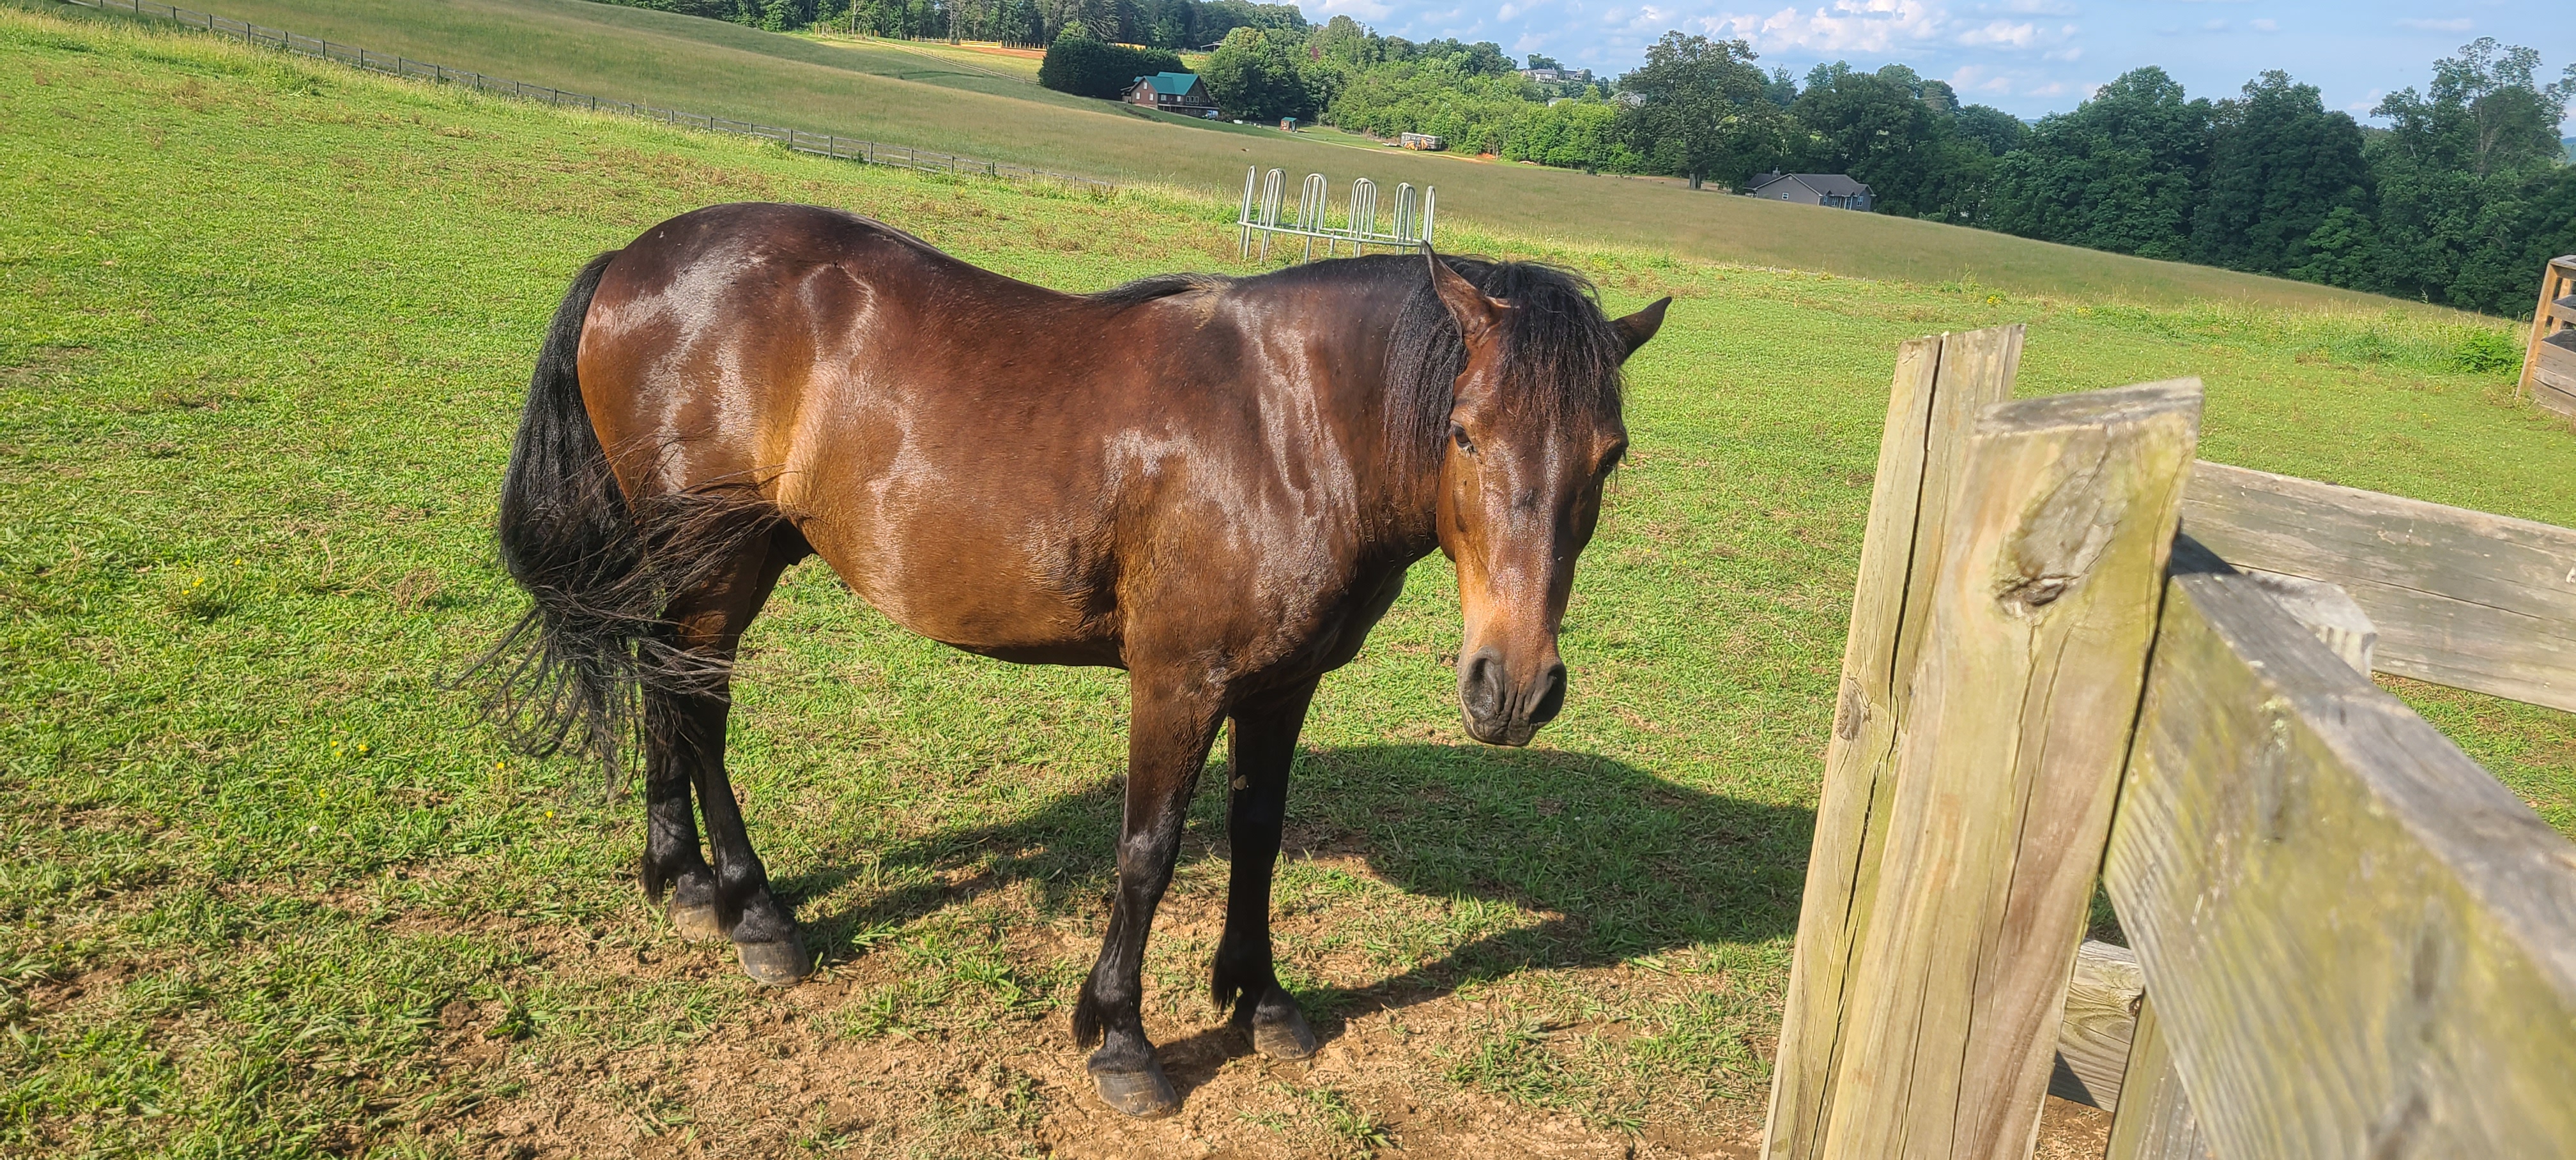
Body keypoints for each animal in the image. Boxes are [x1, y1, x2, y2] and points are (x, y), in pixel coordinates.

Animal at [480, 201, 1667, 1118]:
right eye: (1465, 434)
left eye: (1607, 456)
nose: (1512, 688)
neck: (1290, 428)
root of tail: (633, 259)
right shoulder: (1178, 680)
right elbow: (1147, 852)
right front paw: (1122, 1040)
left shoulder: (1281, 686)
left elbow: (1258, 836)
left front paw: (1260, 999)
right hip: (717, 562)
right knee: (698, 709)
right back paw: (754, 911)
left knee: (667, 694)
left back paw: (681, 880)